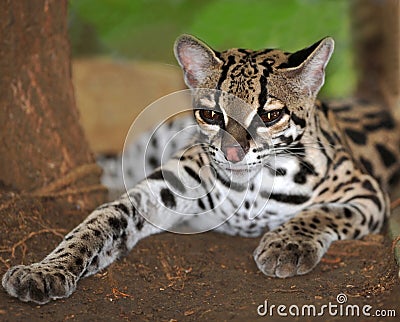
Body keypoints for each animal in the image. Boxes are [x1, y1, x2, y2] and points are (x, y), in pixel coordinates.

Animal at [3, 35, 400, 304]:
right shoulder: (157, 191)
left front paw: (287, 243)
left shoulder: (367, 193)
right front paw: (45, 270)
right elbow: (98, 222)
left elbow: (321, 213)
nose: (233, 152)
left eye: (270, 115)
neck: (251, 191)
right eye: (211, 115)